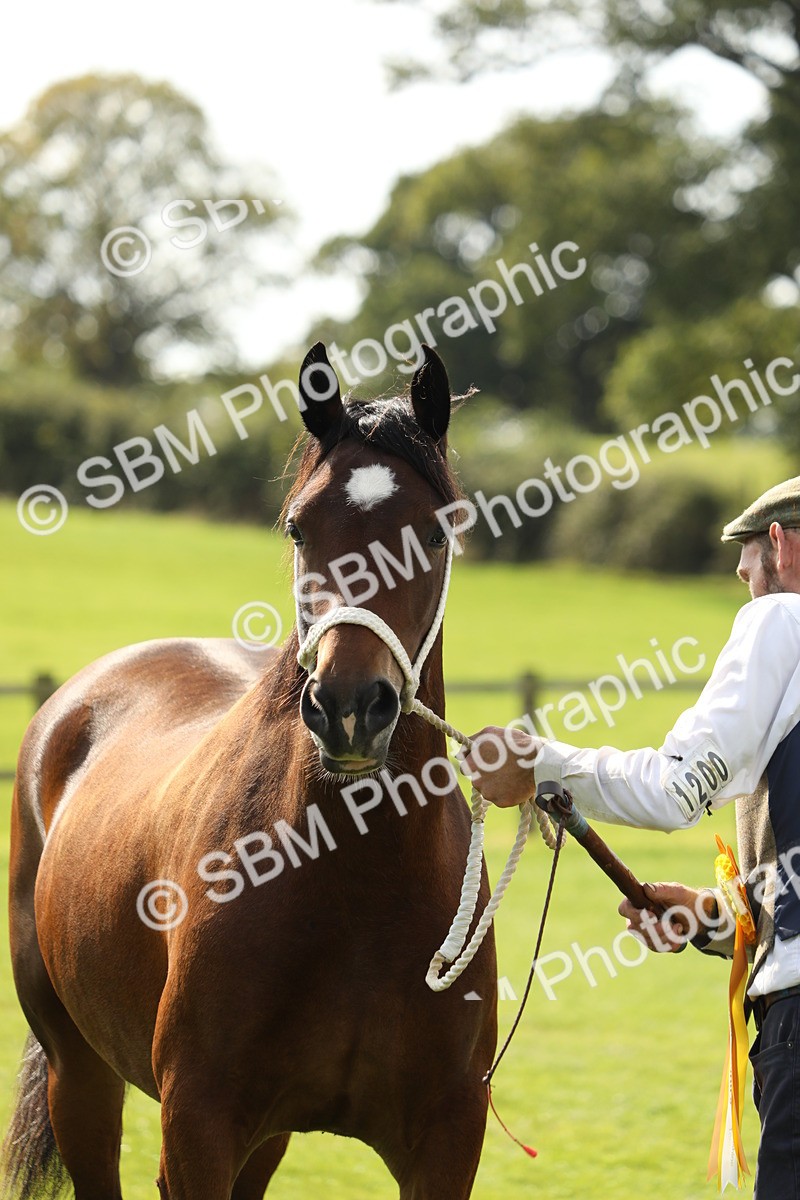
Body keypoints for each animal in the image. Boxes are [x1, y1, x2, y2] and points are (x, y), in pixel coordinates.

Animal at [4, 343, 498, 1200]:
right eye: (300, 527)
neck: (355, 888)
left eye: (436, 534)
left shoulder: (446, 1140)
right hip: (81, 1077)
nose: (348, 706)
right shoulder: (198, 1125)